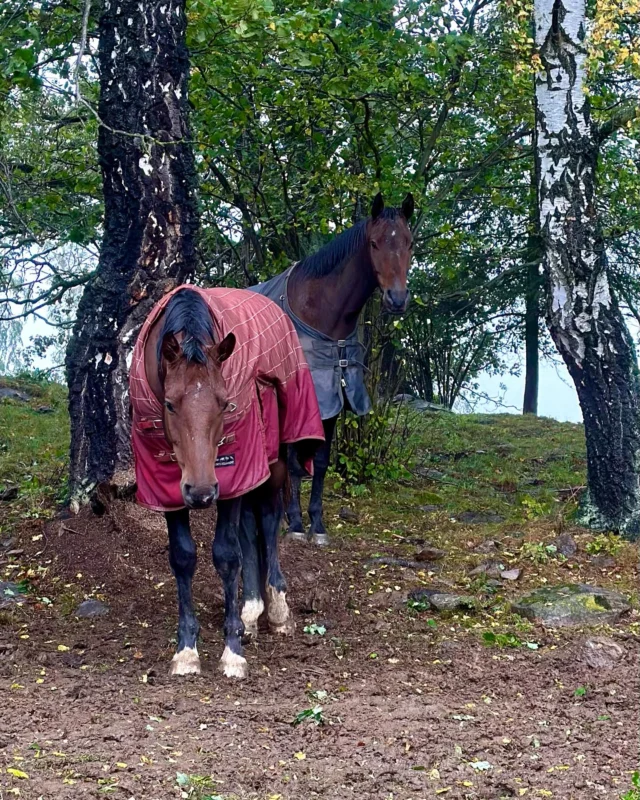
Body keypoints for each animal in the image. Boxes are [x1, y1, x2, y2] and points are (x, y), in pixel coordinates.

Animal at [129, 286, 324, 676]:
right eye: (169, 404)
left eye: (224, 403)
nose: (202, 493)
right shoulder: (167, 487)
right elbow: (183, 556)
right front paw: (187, 650)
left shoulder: (235, 475)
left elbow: (226, 555)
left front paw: (232, 652)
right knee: (250, 529)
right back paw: (251, 610)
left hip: (273, 465)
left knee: (268, 522)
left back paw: (275, 609)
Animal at [252, 191, 412, 548]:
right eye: (374, 243)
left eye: (410, 242)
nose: (396, 299)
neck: (321, 312)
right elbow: (296, 464)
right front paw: (297, 524)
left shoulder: (333, 400)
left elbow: (321, 463)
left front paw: (317, 524)